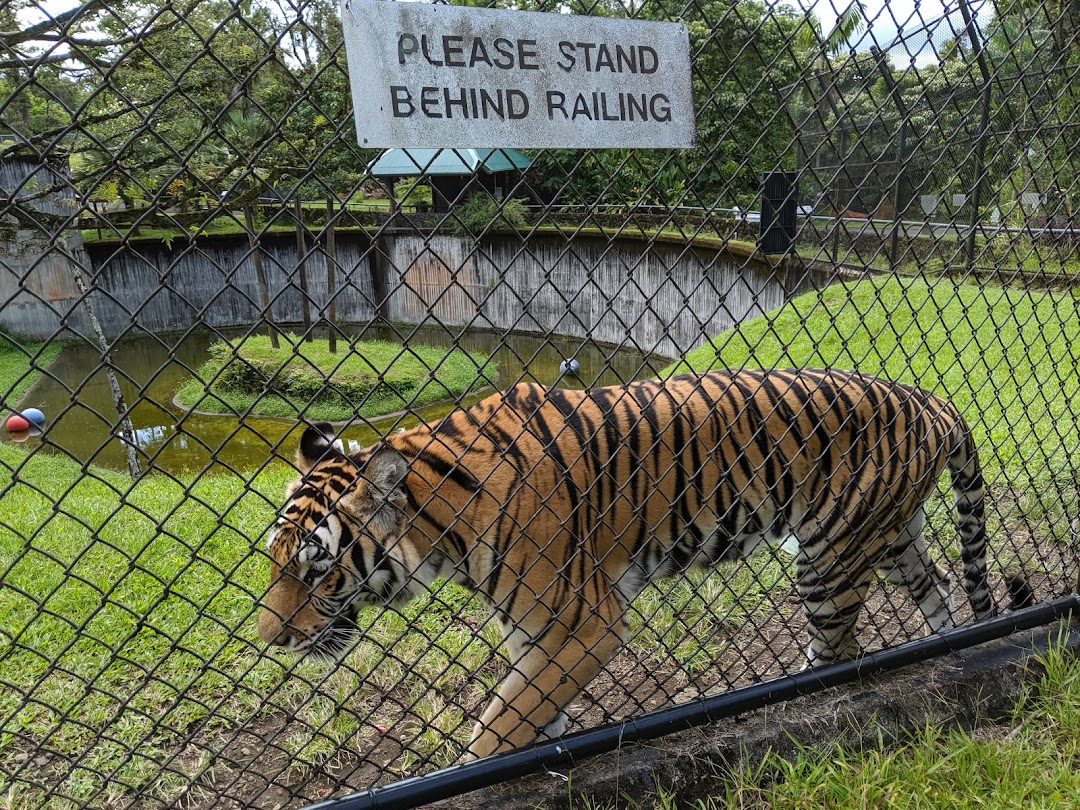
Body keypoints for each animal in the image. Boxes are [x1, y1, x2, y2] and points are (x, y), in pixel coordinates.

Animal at [254, 367, 1028, 760]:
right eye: (272, 561)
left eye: (316, 569)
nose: (271, 640)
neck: (441, 528)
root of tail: (932, 398)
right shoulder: (531, 631)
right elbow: (526, 712)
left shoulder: (584, 623)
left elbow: (501, 724)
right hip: (891, 539)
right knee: (940, 592)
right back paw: (949, 646)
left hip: (830, 558)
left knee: (837, 652)